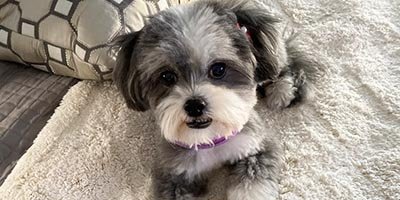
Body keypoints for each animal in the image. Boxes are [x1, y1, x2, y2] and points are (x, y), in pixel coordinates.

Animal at [112, 0, 312, 199]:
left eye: (218, 69)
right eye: (167, 77)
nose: (194, 105)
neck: (210, 138)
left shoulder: (256, 147)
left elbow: (252, 185)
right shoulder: (173, 173)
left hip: (270, 52)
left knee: (283, 62)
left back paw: (283, 91)